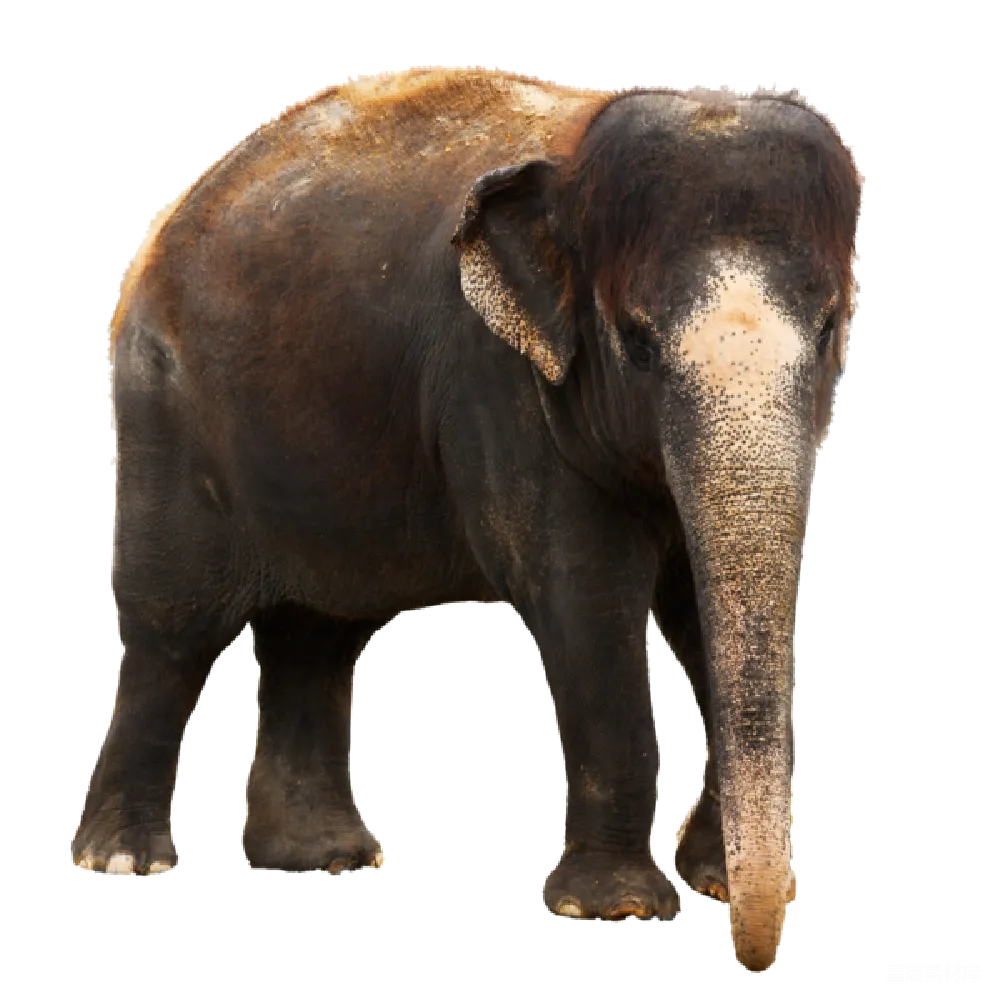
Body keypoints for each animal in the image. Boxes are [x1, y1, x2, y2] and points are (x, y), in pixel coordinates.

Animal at [80, 68, 860, 973]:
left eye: (829, 329)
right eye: (635, 341)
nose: (756, 954)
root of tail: (179, 210)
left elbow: (700, 608)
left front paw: (715, 883)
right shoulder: (497, 380)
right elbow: (583, 598)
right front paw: (618, 909)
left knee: (316, 633)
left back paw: (321, 858)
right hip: (162, 408)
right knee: (173, 628)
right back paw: (123, 860)